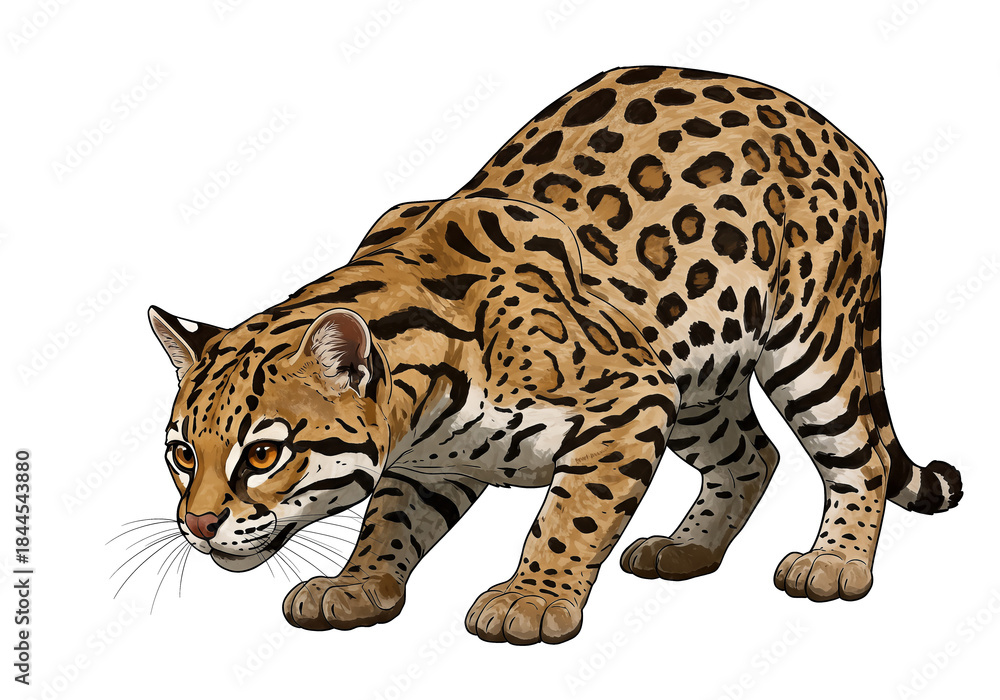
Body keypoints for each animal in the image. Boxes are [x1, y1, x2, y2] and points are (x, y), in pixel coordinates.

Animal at [149, 66, 963, 646]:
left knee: (861, 456)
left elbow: (572, 512)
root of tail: (830, 127)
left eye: (263, 454)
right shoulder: (437, 458)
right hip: (696, 375)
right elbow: (390, 517)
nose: (197, 525)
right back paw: (687, 548)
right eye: (182, 454)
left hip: (811, 341)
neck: (423, 406)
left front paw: (532, 598)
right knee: (752, 456)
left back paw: (835, 563)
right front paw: (357, 581)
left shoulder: (629, 399)